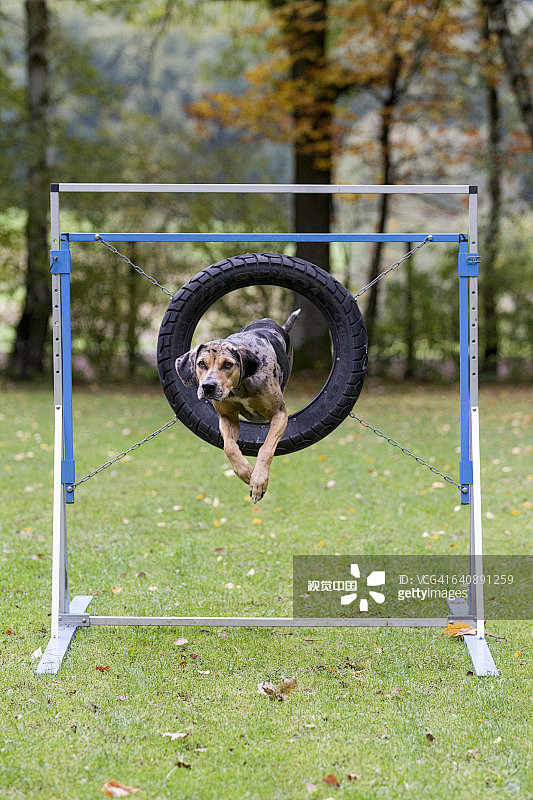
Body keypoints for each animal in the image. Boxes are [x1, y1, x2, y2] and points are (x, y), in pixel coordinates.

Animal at [175, 310, 300, 504]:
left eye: (227, 364)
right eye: (201, 363)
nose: (208, 386)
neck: (239, 387)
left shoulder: (279, 415)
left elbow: (265, 448)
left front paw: (258, 481)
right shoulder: (227, 418)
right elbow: (230, 448)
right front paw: (247, 473)